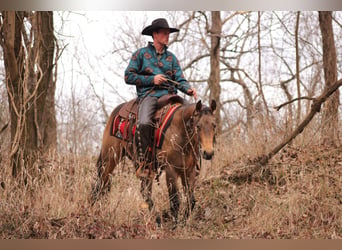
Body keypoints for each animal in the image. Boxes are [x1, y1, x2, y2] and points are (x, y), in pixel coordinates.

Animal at [90, 95, 216, 225]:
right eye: (198, 126)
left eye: (214, 125)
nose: (208, 153)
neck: (179, 131)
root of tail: (118, 110)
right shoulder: (171, 170)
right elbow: (175, 201)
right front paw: (174, 225)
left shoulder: (189, 171)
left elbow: (191, 201)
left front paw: (183, 223)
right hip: (109, 158)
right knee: (101, 183)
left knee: (144, 191)